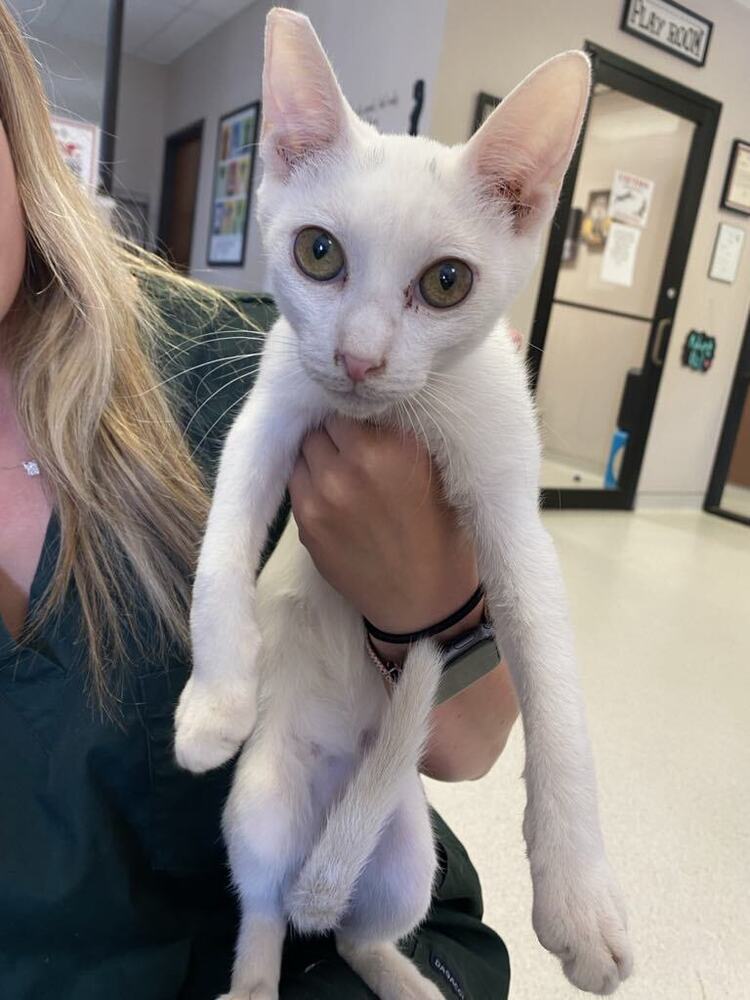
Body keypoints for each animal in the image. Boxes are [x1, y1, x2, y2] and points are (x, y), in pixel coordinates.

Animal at [175, 7, 636, 1000]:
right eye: (318, 253)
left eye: (447, 282)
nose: (358, 359)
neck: (391, 419)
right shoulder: (267, 424)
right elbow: (221, 556)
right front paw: (213, 703)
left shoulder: (511, 510)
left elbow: (555, 694)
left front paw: (580, 902)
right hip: (261, 810)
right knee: (265, 914)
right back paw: (257, 975)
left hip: (409, 856)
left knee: (355, 935)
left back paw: (407, 977)